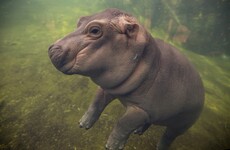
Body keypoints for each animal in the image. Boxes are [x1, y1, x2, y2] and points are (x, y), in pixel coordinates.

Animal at [47, 8, 204, 150]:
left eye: (95, 30)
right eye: (80, 20)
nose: (52, 49)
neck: (150, 60)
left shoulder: (142, 109)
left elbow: (123, 123)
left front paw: (111, 146)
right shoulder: (109, 88)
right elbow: (96, 103)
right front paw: (83, 124)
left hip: (182, 124)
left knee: (168, 136)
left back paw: (160, 147)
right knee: (149, 122)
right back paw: (138, 131)